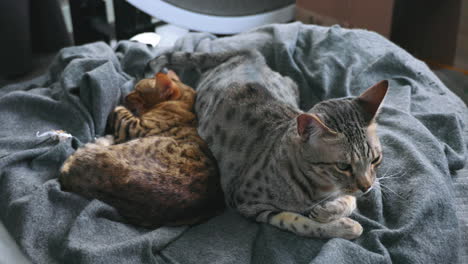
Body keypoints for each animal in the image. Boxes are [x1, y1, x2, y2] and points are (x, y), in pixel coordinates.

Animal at [59, 70, 225, 229]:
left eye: (138, 91)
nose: (125, 95)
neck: (182, 105)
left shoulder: (134, 126)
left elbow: (120, 111)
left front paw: (119, 106)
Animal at [149, 49, 388, 239]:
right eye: (343, 166)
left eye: (375, 159)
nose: (367, 187)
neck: (321, 187)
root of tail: (249, 54)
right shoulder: (250, 204)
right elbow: (301, 223)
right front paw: (343, 227)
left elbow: (349, 200)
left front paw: (329, 211)